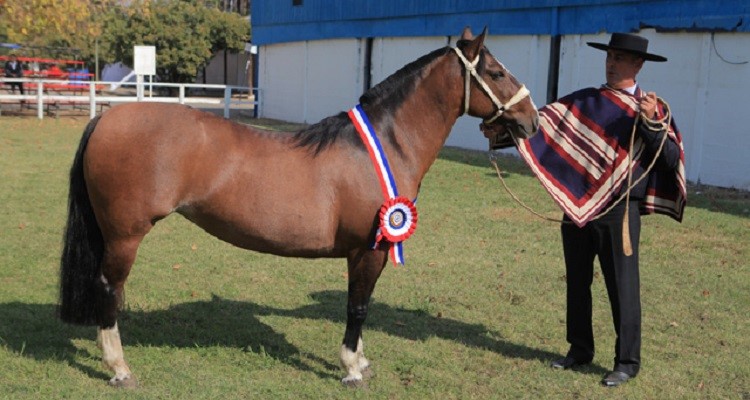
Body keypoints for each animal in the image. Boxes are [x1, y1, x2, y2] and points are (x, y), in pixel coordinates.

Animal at [60, 25, 540, 388]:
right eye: (496, 72)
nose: (531, 120)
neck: (384, 145)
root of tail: (106, 116)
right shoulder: (368, 249)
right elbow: (357, 307)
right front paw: (351, 368)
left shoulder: (371, 250)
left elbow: (361, 303)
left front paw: (360, 360)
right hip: (125, 235)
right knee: (109, 287)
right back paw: (120, 369)